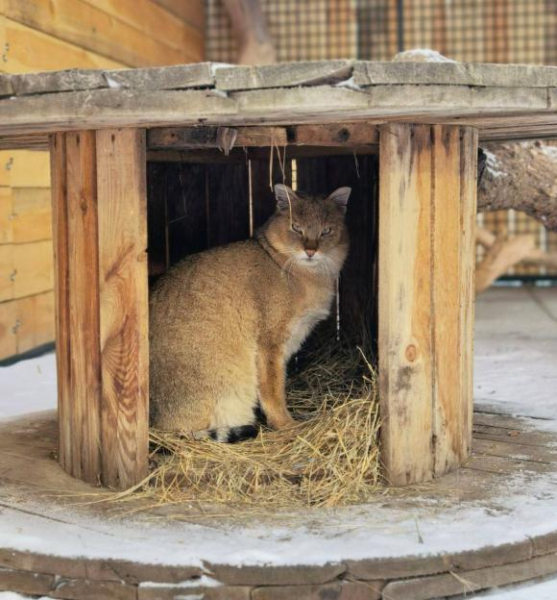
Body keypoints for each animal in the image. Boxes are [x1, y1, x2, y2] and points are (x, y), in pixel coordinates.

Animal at [150, 183, 350, 440]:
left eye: (326, 231)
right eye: (296, 227)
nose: (310, 251)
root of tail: (153, 422)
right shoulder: (269, 343)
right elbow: (273, 389)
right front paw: (286, 425)